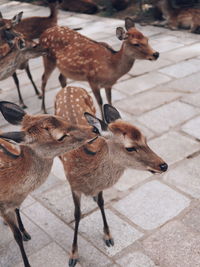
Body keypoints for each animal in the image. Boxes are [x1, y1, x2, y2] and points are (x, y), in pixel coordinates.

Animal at [0, 100, 97, 267]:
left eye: (61, 118)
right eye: (61, 136)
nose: (94, 129)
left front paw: (23, 232)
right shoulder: (4, 207)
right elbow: (16, 237)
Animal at [54, 86, 167, 267]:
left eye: (145, 139)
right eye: (130, 147)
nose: (163, 165)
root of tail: (69, 87)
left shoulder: (99, 187)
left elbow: (101, 203)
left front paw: (108, 236)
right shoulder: (73, 185)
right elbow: (77, 214)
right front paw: (73, 255)